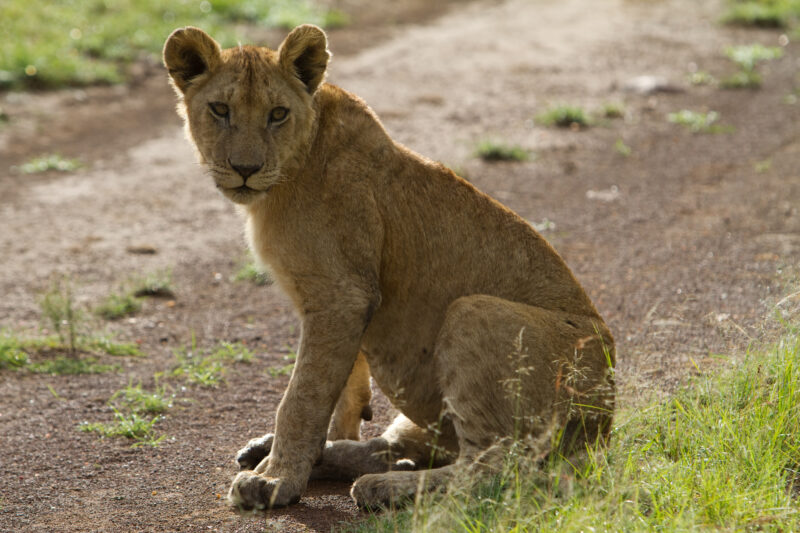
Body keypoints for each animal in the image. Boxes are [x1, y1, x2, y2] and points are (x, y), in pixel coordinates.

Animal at [163, 24, 615, 511]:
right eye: (220, 110)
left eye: (278, 114)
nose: (245, 169)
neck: (292, 171)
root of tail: (606, 424)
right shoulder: (338, 302)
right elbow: (340, 385)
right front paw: (305, 452)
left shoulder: (342, 295)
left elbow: (303, 395)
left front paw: (275, 479)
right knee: (407, 445)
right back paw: (338, 459)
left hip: (475, 312)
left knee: (498, 469)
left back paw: (382, 486)